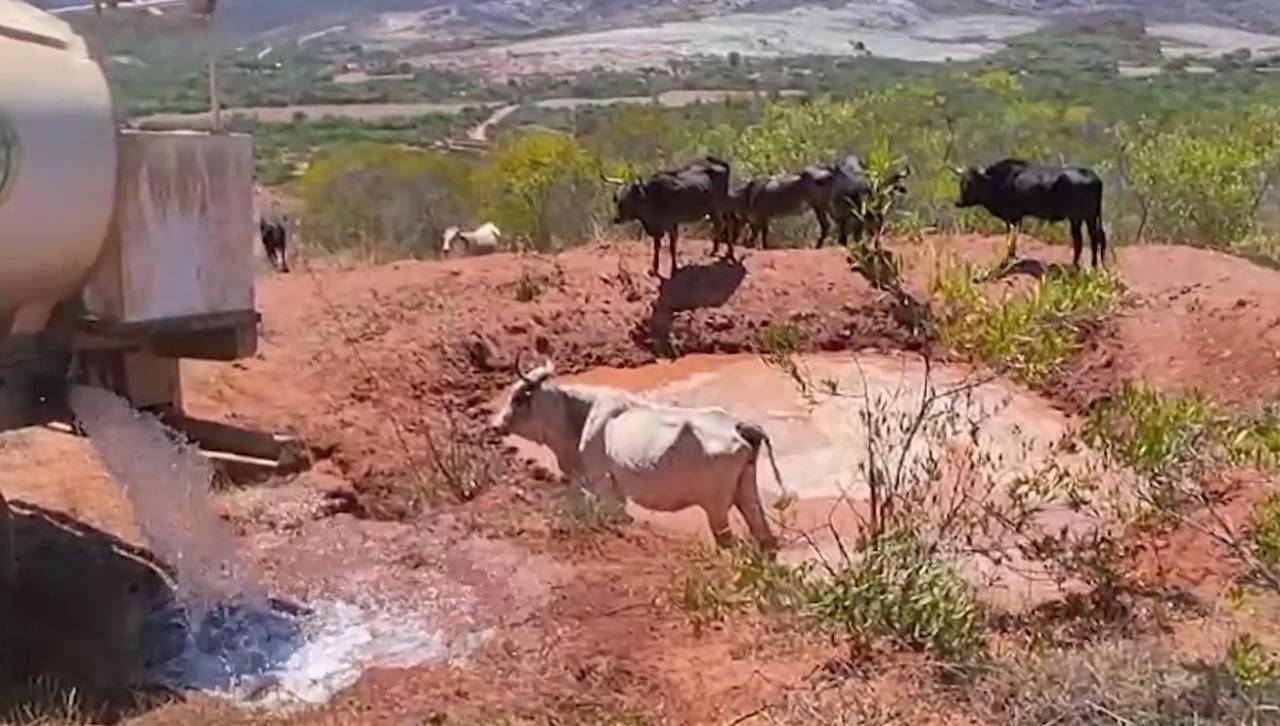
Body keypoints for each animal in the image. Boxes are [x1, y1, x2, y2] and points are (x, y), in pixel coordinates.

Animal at [957, 158, 1105, 270]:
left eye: (971, 183)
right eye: (961, 182)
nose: (958, 202)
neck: (997, 180)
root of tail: (1095, 178)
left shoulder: (1011, 216)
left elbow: (1011, 238)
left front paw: (1008, 259)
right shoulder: (1016, 217)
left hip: (1082, 216)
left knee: (1089, 238)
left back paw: (1086, 265)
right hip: (1086, 217)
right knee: (1090, 238)